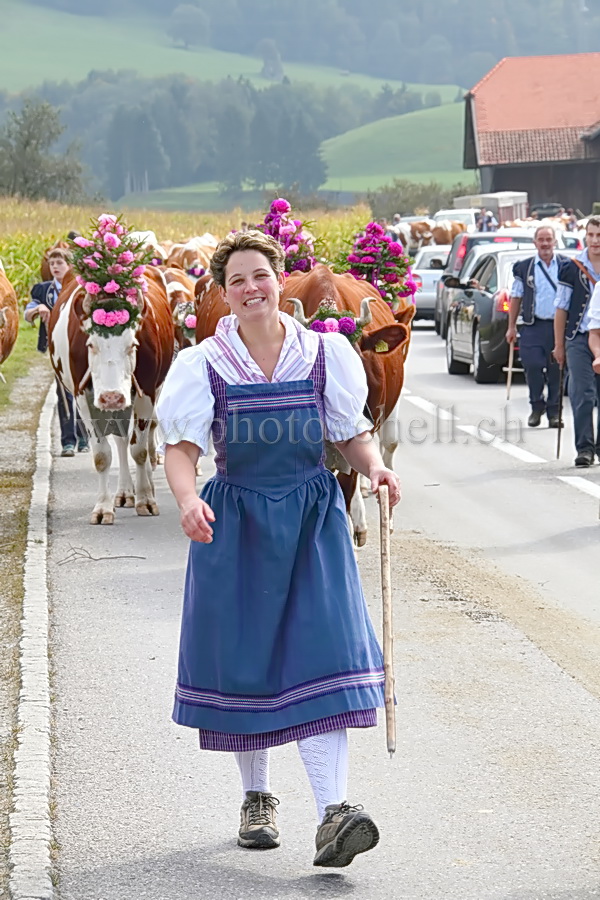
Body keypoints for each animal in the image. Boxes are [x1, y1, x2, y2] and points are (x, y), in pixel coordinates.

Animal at [48, 214, 173, 524]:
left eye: (132, 345)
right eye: (91, 345)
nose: (112, 397)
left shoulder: (146, 391)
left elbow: (139, 449)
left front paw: (145, 499)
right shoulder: (83, 396)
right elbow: (102, 454)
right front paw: (103, 507)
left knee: (140, 438)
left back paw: (143, 487)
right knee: (119, 440)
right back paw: (124, 492)